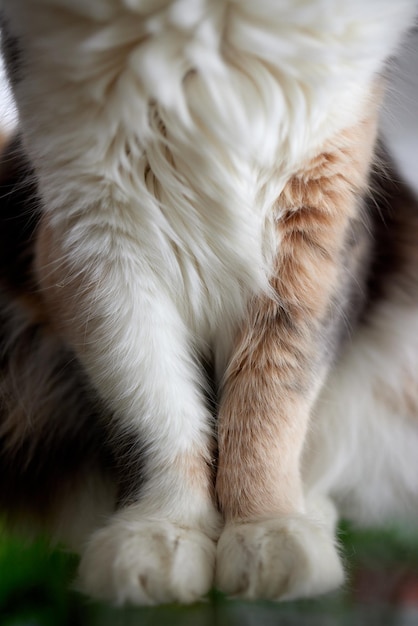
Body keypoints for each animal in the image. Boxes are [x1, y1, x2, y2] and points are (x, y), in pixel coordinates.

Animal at [0, 0, 418, 604]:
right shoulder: (92, 236)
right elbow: (157, 406)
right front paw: (162, 531)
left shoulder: (317, 222)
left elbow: (268, 403)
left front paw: (266, 528)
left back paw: (312, 514)